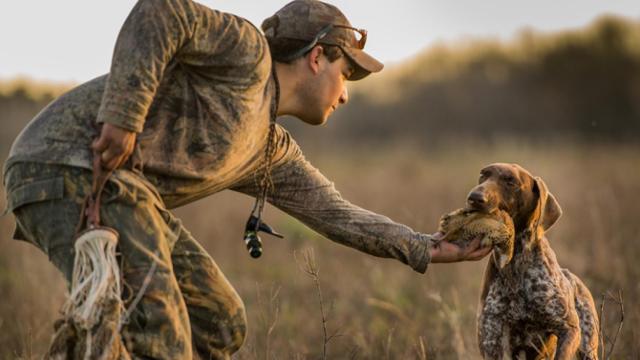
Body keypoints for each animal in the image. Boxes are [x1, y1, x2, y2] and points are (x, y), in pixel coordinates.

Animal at [464, 164, 600, 360]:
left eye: (511, 181)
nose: (474, 197)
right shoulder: (491, 339)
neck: (516, 262)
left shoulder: (569, 328)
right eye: (483, 175)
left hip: (587, 348)